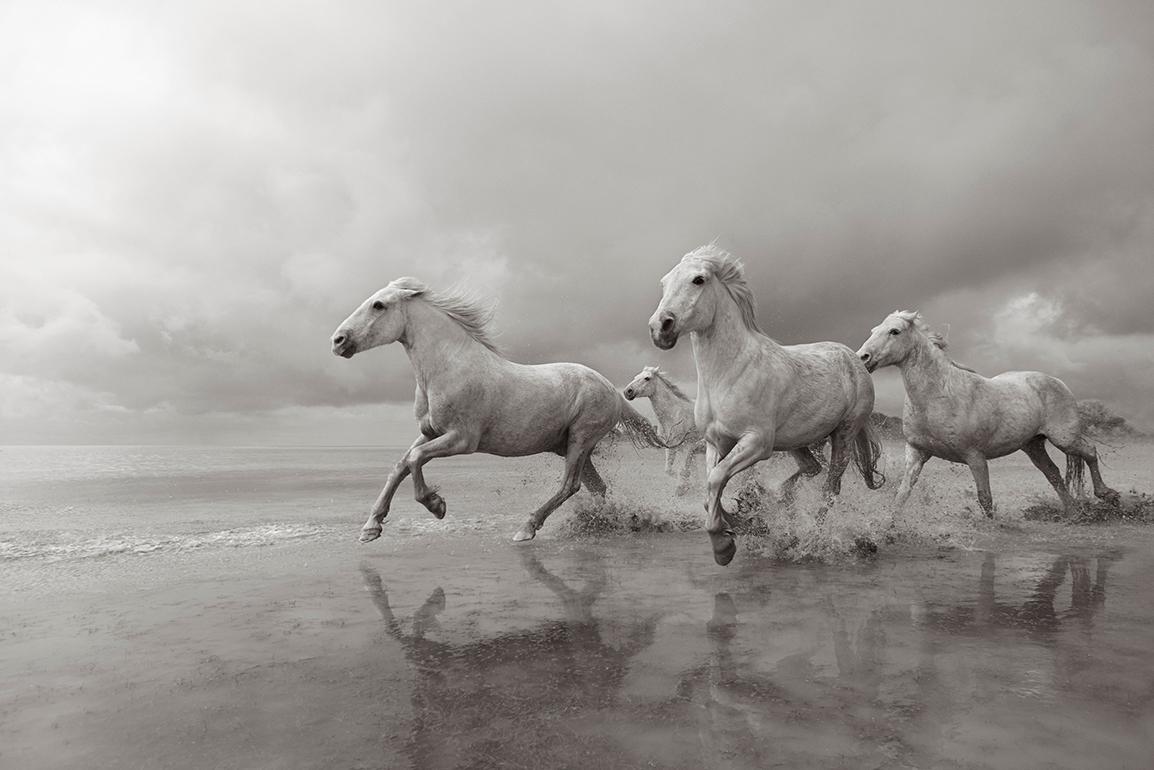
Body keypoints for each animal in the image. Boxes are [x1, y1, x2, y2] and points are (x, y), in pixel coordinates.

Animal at [330, 277, 664, 542]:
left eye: (379, 305)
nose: (338, 341)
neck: (446, 369)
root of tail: (615, 392)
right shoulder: (430, 432)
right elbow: (400, 465)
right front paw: (371, 528)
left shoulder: (462, 439)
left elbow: (415, 460)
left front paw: (436, 505)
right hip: (570, 446)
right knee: (596, 488)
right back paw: (605, 522)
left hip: (580, 440)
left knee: (570, 485)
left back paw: (527, 528)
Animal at [623, 367, 701, 496]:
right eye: (636, 377)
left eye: (647, 378)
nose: (627, 392)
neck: (675, 415)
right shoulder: (671, 447)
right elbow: (669, 470)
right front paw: (688, 486)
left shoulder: (689, 446)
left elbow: (684, 469)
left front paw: (682, 487)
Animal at [650, 247, 881, 565]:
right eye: (663, 282)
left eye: (699, 280)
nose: (660, 327)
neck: (729, 373)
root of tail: (855, 360)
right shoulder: (716, 442)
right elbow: (710, 490)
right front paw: (748, 520)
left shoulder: (757, 443)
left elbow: (716, 480)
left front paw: (724, 547)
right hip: (799, 441)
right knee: (811, 469)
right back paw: (780, 503)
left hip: (844, 434)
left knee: (830, 489)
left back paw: (813, 540)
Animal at [858, 311, 1117, 517]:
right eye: (873, 330)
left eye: (895, 331)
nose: (863, 357)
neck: (938, 396)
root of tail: (1057, 382)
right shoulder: (916, 453)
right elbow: (901, 496)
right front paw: (887, 529)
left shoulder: (975, 457)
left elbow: (985, 499)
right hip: (1033, 445)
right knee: (1053, 474)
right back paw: (1073, 513)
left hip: (1064, 438)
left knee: (1089, 451)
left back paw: (1107, 494)